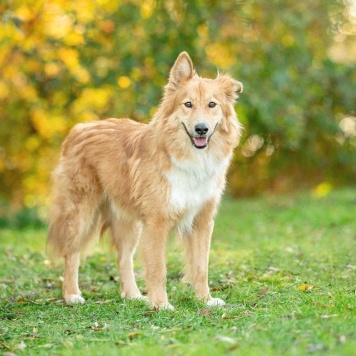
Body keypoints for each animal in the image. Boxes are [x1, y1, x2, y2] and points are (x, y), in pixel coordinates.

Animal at [46, 51, 242, 310]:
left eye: (212, 104)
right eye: (188, 104)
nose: (201, 129)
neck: (191, 158)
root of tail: (79, 128)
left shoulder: (202, 221)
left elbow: (201, 267)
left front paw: (205, 300)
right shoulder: (157, 222)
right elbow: (158, 268)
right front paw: (160, 304)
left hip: (128, 222)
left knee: (123, 258)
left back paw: (133, 295)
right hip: (80, 213)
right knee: (72, 253)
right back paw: (71, 294)